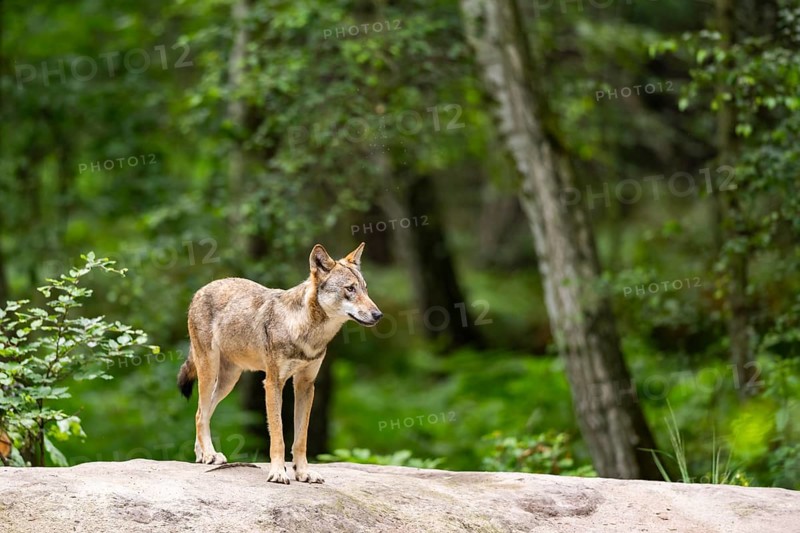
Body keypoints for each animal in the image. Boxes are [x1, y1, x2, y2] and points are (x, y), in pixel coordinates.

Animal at [176, 242, 382, 484]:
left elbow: (301, 439)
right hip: (209, 371)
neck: (306, 332)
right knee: (201, 414)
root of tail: (201, 290)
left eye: (365, 289)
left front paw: (303, 472)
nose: (378, 314)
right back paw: (209, 454)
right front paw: (277, 472)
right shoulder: (273, 383)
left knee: (203, 411)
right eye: (350, 289)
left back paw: (202, 455)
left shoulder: (305, 385)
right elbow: (278, 435)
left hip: (229, 381)